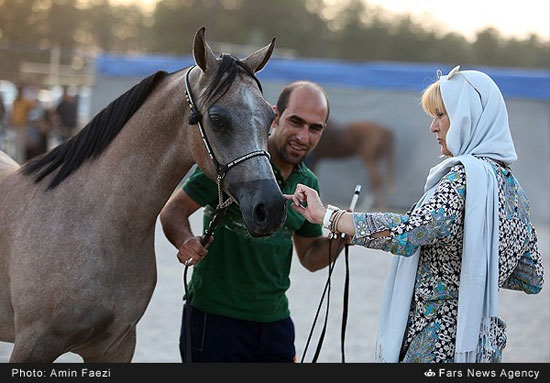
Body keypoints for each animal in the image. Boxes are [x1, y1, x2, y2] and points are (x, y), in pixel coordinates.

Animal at [0, 27, 286, 364]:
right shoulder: (34, 346)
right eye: (217, 119)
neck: (92, 222)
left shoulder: (116, 346)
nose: (271, 208)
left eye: (269, 117)